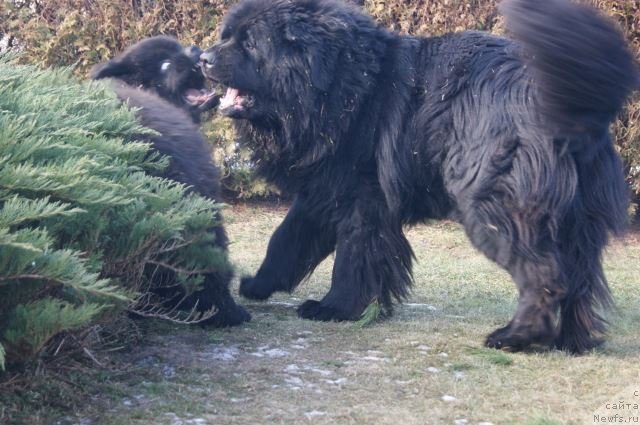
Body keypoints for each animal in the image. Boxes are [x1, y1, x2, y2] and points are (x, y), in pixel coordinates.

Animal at [200, 0, 636, 352]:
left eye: (250, 44)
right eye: (227, 36)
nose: (202, 58)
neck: (340, 88)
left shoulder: (362, 199)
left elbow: (352, 258)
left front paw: (335, 308)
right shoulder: (325, 189)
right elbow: (287, 238)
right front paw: (258, 284)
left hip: (493, 203)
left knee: (544, 274)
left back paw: (516, 336)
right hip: (578, 219)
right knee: (579, 278)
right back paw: (571, 342)